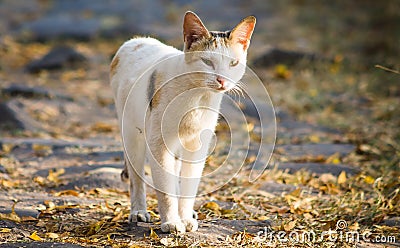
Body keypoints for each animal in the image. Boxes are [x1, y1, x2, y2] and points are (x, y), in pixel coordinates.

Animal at [108, 11, 256, 232]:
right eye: (207, 62)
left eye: (233, 64)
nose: (222, 80)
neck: (197, 96)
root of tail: (134, 41)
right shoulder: (158, 144)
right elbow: (165, 188)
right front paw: (171, 222)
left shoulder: (197, 146)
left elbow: (188, 185)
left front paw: (184, 218)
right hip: (132, 135)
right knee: (136, 178)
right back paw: (138, 211)